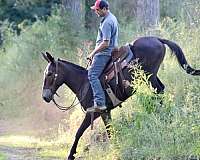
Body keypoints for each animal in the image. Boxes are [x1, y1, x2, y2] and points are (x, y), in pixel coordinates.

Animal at [41, 36, 199, 160]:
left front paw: (71, 154)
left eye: (49, 73)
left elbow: (79, 132)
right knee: (161, 92)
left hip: (149, 76)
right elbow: (110, 132)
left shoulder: (93, 112)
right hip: (152, 77)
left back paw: (166, 116)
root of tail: (157, 39)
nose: (45, 96)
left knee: (159, 93)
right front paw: (116, 149)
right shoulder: (106, 112)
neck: (84, 82)